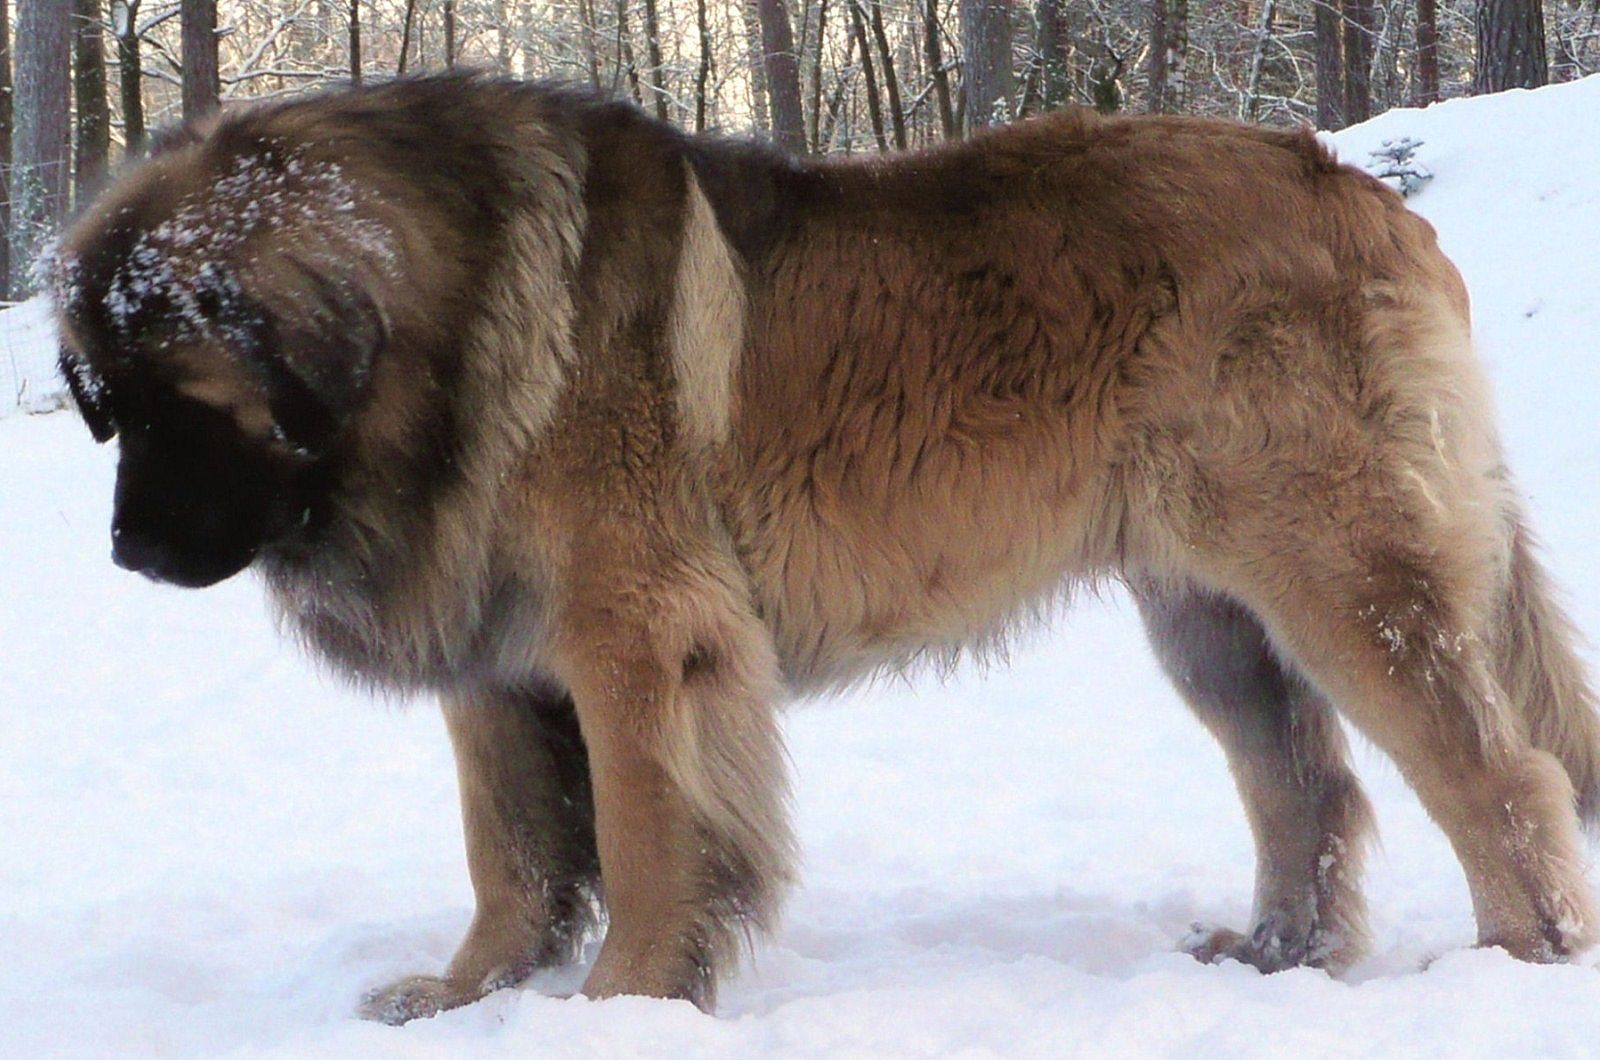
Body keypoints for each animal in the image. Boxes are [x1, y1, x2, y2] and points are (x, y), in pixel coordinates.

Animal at [50, 72, 1600, 1024]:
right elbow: (513, 850)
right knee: (1305, 788)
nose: (125, 548)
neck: (448, 320)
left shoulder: (637, 635)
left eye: (183, 404)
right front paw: (467, 993)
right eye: (103, 405)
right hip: (1209, 614)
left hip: (1335, 569)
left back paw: (1520, 961)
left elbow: (645, 831)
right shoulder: (494, 658)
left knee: (1499, 773)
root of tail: (1362, 189)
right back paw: (1277, 958)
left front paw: (623, 1002)